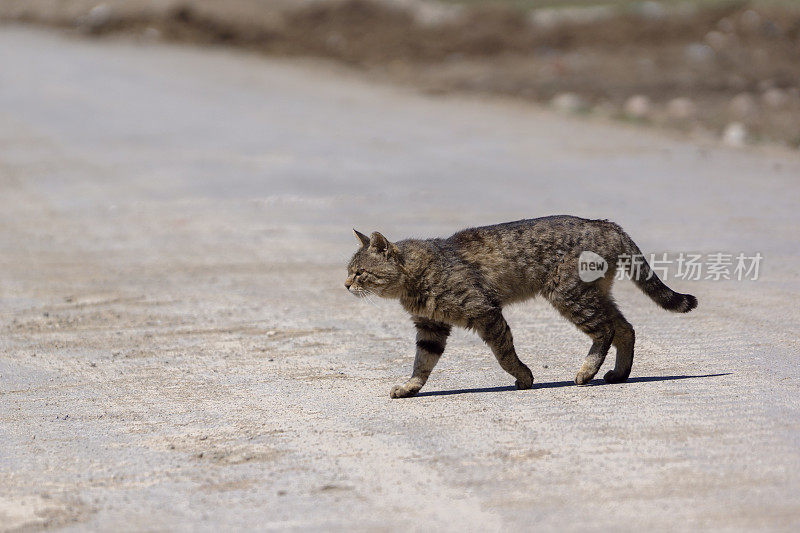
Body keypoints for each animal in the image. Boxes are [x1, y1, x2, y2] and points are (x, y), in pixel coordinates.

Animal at [346, 215, 696, 394]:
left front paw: (524, 377)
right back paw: (619, 373)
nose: (346, 284)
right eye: (348, 271)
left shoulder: (485, 311)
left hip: (568, 295)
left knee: (606, 331)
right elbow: (422, 363)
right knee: (626, 329)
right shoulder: (430, 327)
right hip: (593, 294)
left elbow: (504, 355)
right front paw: (410, 387)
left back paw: (587, 371)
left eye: (359, 272)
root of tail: (606, 224)